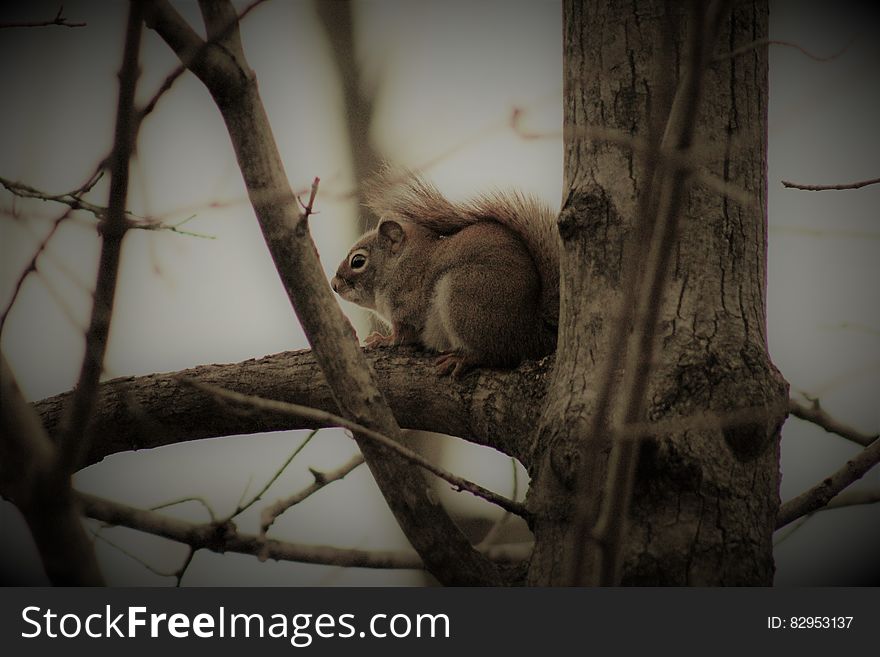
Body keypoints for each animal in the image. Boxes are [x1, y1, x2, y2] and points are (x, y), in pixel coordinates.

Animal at [330, 170, 556, 374]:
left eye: (358, 261)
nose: (334, 285)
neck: (398, 266)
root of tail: (535, 332)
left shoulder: (408, 307)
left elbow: (403, 336)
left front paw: (383, 339)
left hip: (465, 298)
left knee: (497, 354)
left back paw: (464, 359)